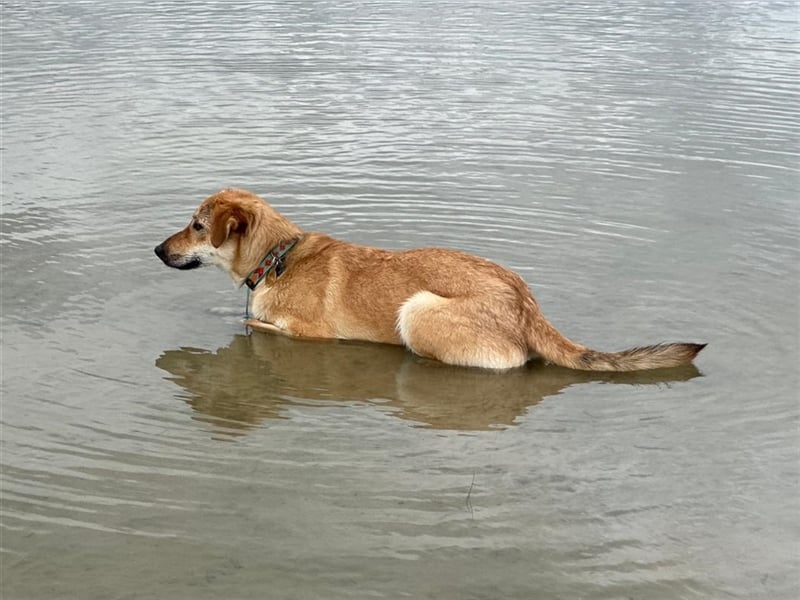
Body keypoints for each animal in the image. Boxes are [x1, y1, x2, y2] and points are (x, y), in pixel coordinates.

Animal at [153, 190, 704, 372]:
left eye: (197, 226)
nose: (158, 250)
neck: (277, 257)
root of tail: (528, 306)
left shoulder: (310, 334)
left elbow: (253, 325)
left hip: (417, 310)